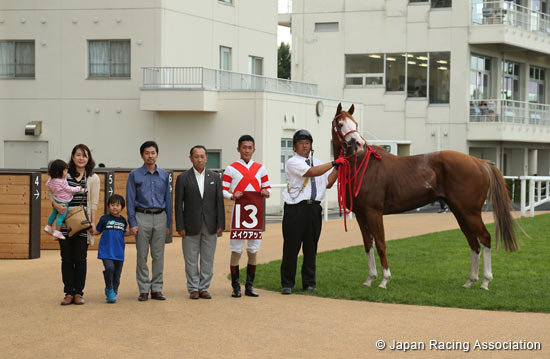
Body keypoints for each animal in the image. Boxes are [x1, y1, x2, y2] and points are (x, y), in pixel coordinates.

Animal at [334, 102, 520, 292]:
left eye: (355, 124)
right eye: (340, 124)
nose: (359, 144)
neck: (364, 167)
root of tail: (480, 162)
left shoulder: (374, 212)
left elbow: (380, 243)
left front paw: (384, 280)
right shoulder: (361, 214)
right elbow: (368, 244)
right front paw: (370, 278)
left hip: (470, 212)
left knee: (484, 238)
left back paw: (485, 281)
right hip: (460, 212)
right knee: (473, 242)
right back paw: (470, 280)